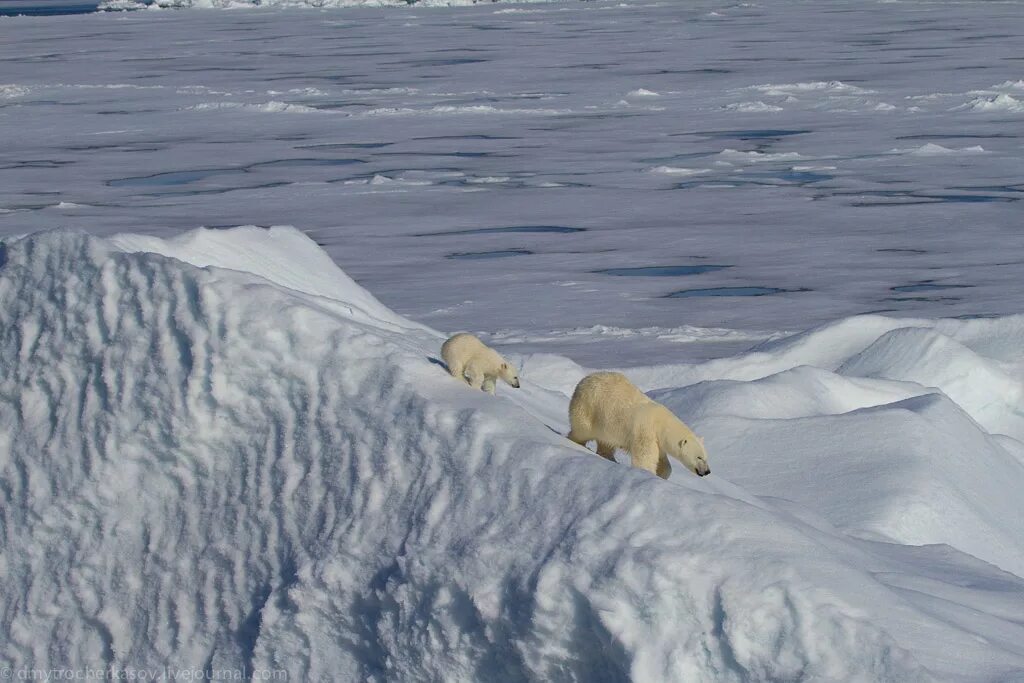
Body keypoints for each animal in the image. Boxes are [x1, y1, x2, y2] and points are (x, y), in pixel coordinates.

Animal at [573, 370, 708, 479]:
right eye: (699, 457)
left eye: (706, 457)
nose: (707, 471)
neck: (661, 423)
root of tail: (586, 379)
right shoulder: (646, 432)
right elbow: (645, 457)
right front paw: (647, 473)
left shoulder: (658, 441)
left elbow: (663, 462)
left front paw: (661, 474)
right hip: (589, 407)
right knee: (582, 430)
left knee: (606, 441)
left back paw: (609, 457)